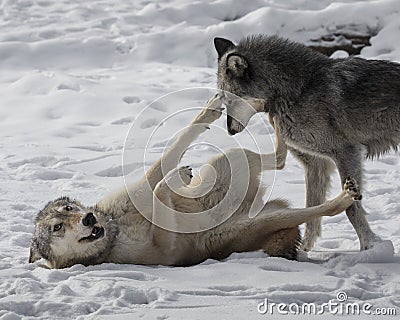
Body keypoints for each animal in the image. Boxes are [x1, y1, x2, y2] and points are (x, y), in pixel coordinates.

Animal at [28, 94, 360, 268]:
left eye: (69, 208)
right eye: (57, 228)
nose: (88, 219)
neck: (115, 228)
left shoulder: (140, 189)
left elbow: (175, 146)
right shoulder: (166, 251)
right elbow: (162, 180)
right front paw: (172, 181)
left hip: (224, 160)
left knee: (278, 157)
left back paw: (269, 114)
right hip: (261, 220)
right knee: (317, 205)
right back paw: (344, 197)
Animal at [214, 34, 398, 250]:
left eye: (230, 100)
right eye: (224, 101)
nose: (229, 131)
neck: (298, 90)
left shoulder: (347, 153)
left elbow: (352, 209)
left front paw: (369, 247)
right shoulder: (316, 163)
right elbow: (312, 212)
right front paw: (304, 251)